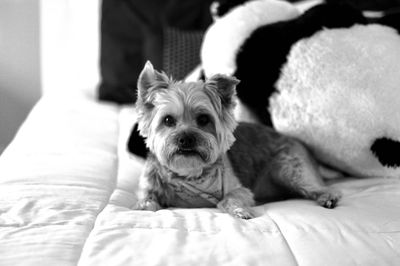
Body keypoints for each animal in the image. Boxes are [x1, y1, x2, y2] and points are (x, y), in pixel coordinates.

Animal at [132, 61, 340, 219]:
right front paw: (144, 206)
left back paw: (327, 196)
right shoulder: (147, 188)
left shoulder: (239, 190)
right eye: (168, 120)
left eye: (203, 119)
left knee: (315, 185)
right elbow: (146, 201)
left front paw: (240, 210)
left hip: (289, 167)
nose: (186, 138)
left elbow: (229, 199)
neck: (188, 173)